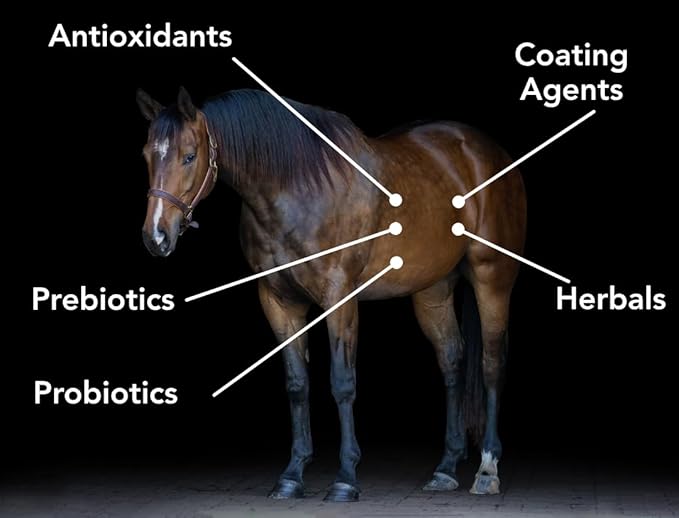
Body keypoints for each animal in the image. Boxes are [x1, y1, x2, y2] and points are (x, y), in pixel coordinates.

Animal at [137, 87, 526, 502]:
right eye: (147, 155)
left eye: (189, 155)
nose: (156, 237)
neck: (296, 189)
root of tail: (488, 153)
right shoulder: (278, 301)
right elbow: (297, 384)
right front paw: (292, 476)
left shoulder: (340, 297)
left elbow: (342, 381)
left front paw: (345, 478)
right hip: (432, 290)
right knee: (452, 361)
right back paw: (446, 468)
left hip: (492, 277)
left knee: (491, 363)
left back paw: (487, 468)